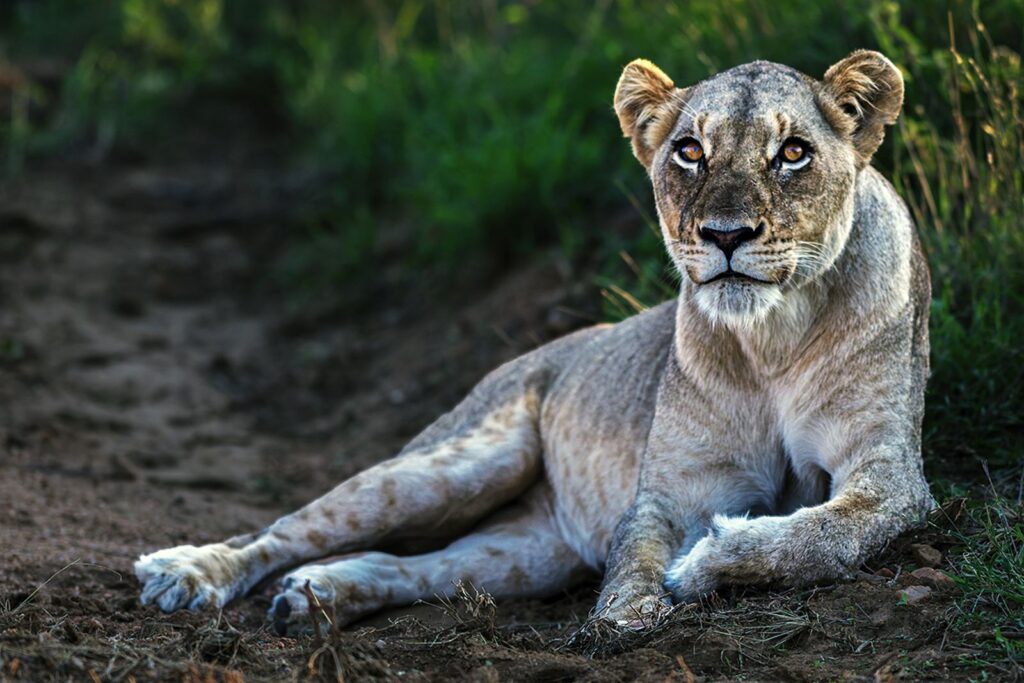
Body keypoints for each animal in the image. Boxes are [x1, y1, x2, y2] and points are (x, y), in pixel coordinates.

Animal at [135, 50, 933, 632]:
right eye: (689, 151)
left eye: (793, 153)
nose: (726, 235)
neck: (771, 339)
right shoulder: (670, 489)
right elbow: (638, 552)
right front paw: (625, 614)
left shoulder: (890, 475)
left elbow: (822, 535)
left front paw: (709, 560)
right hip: (448, 466)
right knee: (290, 527)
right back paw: (188, 573)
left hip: (526, 551)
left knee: (414, 564)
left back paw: (315, 594)